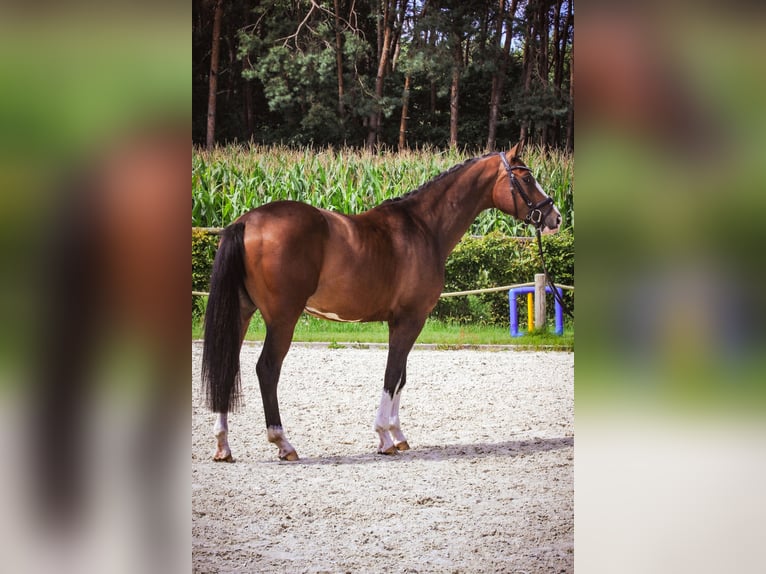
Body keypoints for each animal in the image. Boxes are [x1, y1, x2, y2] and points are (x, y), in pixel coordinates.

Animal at [204, 144, 564, 464]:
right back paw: (283, 443)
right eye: (527, 178)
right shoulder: (411, 320)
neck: (424, 227)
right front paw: (384, 438)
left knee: (228, 365)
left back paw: (223, 446)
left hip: (241, 313)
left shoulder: (400, 322)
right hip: (283, 318)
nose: (555, 217)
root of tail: (246, 222)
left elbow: (400, 376)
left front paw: (398, 435)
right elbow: (392, 375)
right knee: (267, 369)